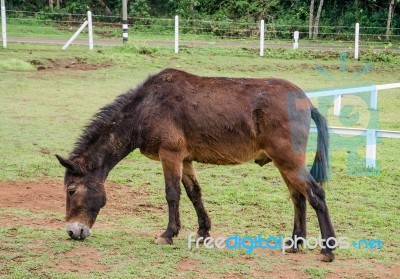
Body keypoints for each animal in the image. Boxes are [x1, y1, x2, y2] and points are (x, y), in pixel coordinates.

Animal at [56, 68, 336, 262]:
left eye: (71, 190)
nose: (72, 232)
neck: (147, 106)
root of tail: (305, 101)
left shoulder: (170, 155)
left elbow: (172, 194)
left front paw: (168, 234)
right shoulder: (185, 159)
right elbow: (194, 194)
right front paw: (203, 232)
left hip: (288, 161)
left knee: (316, 194)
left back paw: (327, 249)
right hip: (284, 163)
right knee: (298, 198)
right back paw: (295, 243)